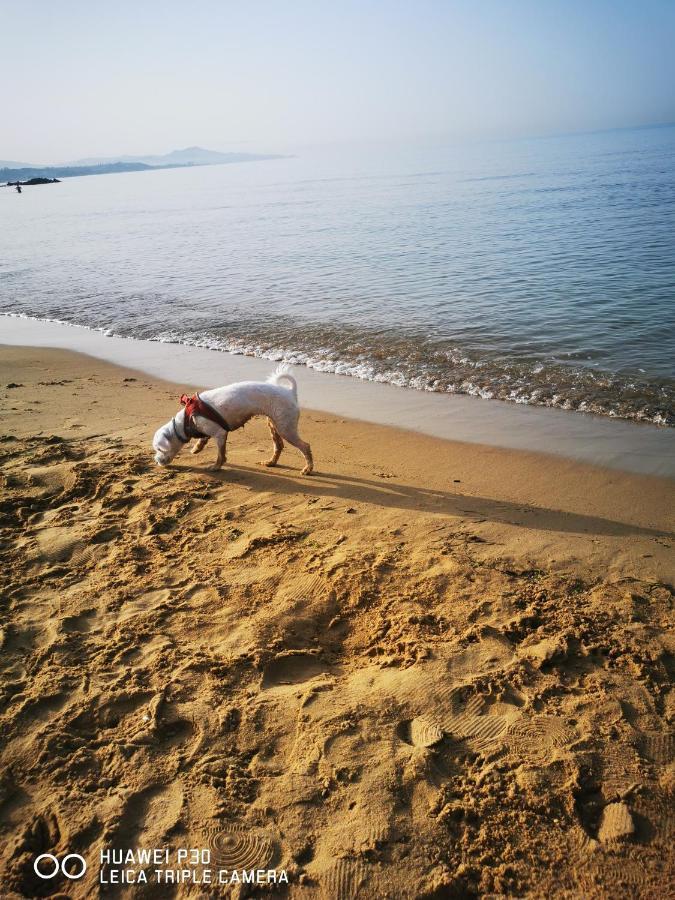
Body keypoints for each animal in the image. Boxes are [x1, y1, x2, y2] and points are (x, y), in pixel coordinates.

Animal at [151, 366, 314, 474]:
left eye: (159, 449)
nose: (156, 461)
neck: (187, 419)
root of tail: (290, 392)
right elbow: (204, 439)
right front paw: (197, 448)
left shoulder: (220, 434)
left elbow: (220, 454)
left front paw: (216, 467)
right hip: (274, 425)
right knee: (279, 445)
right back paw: (271, 462)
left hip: (286, 428)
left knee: (305, 446)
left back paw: (308, 469)